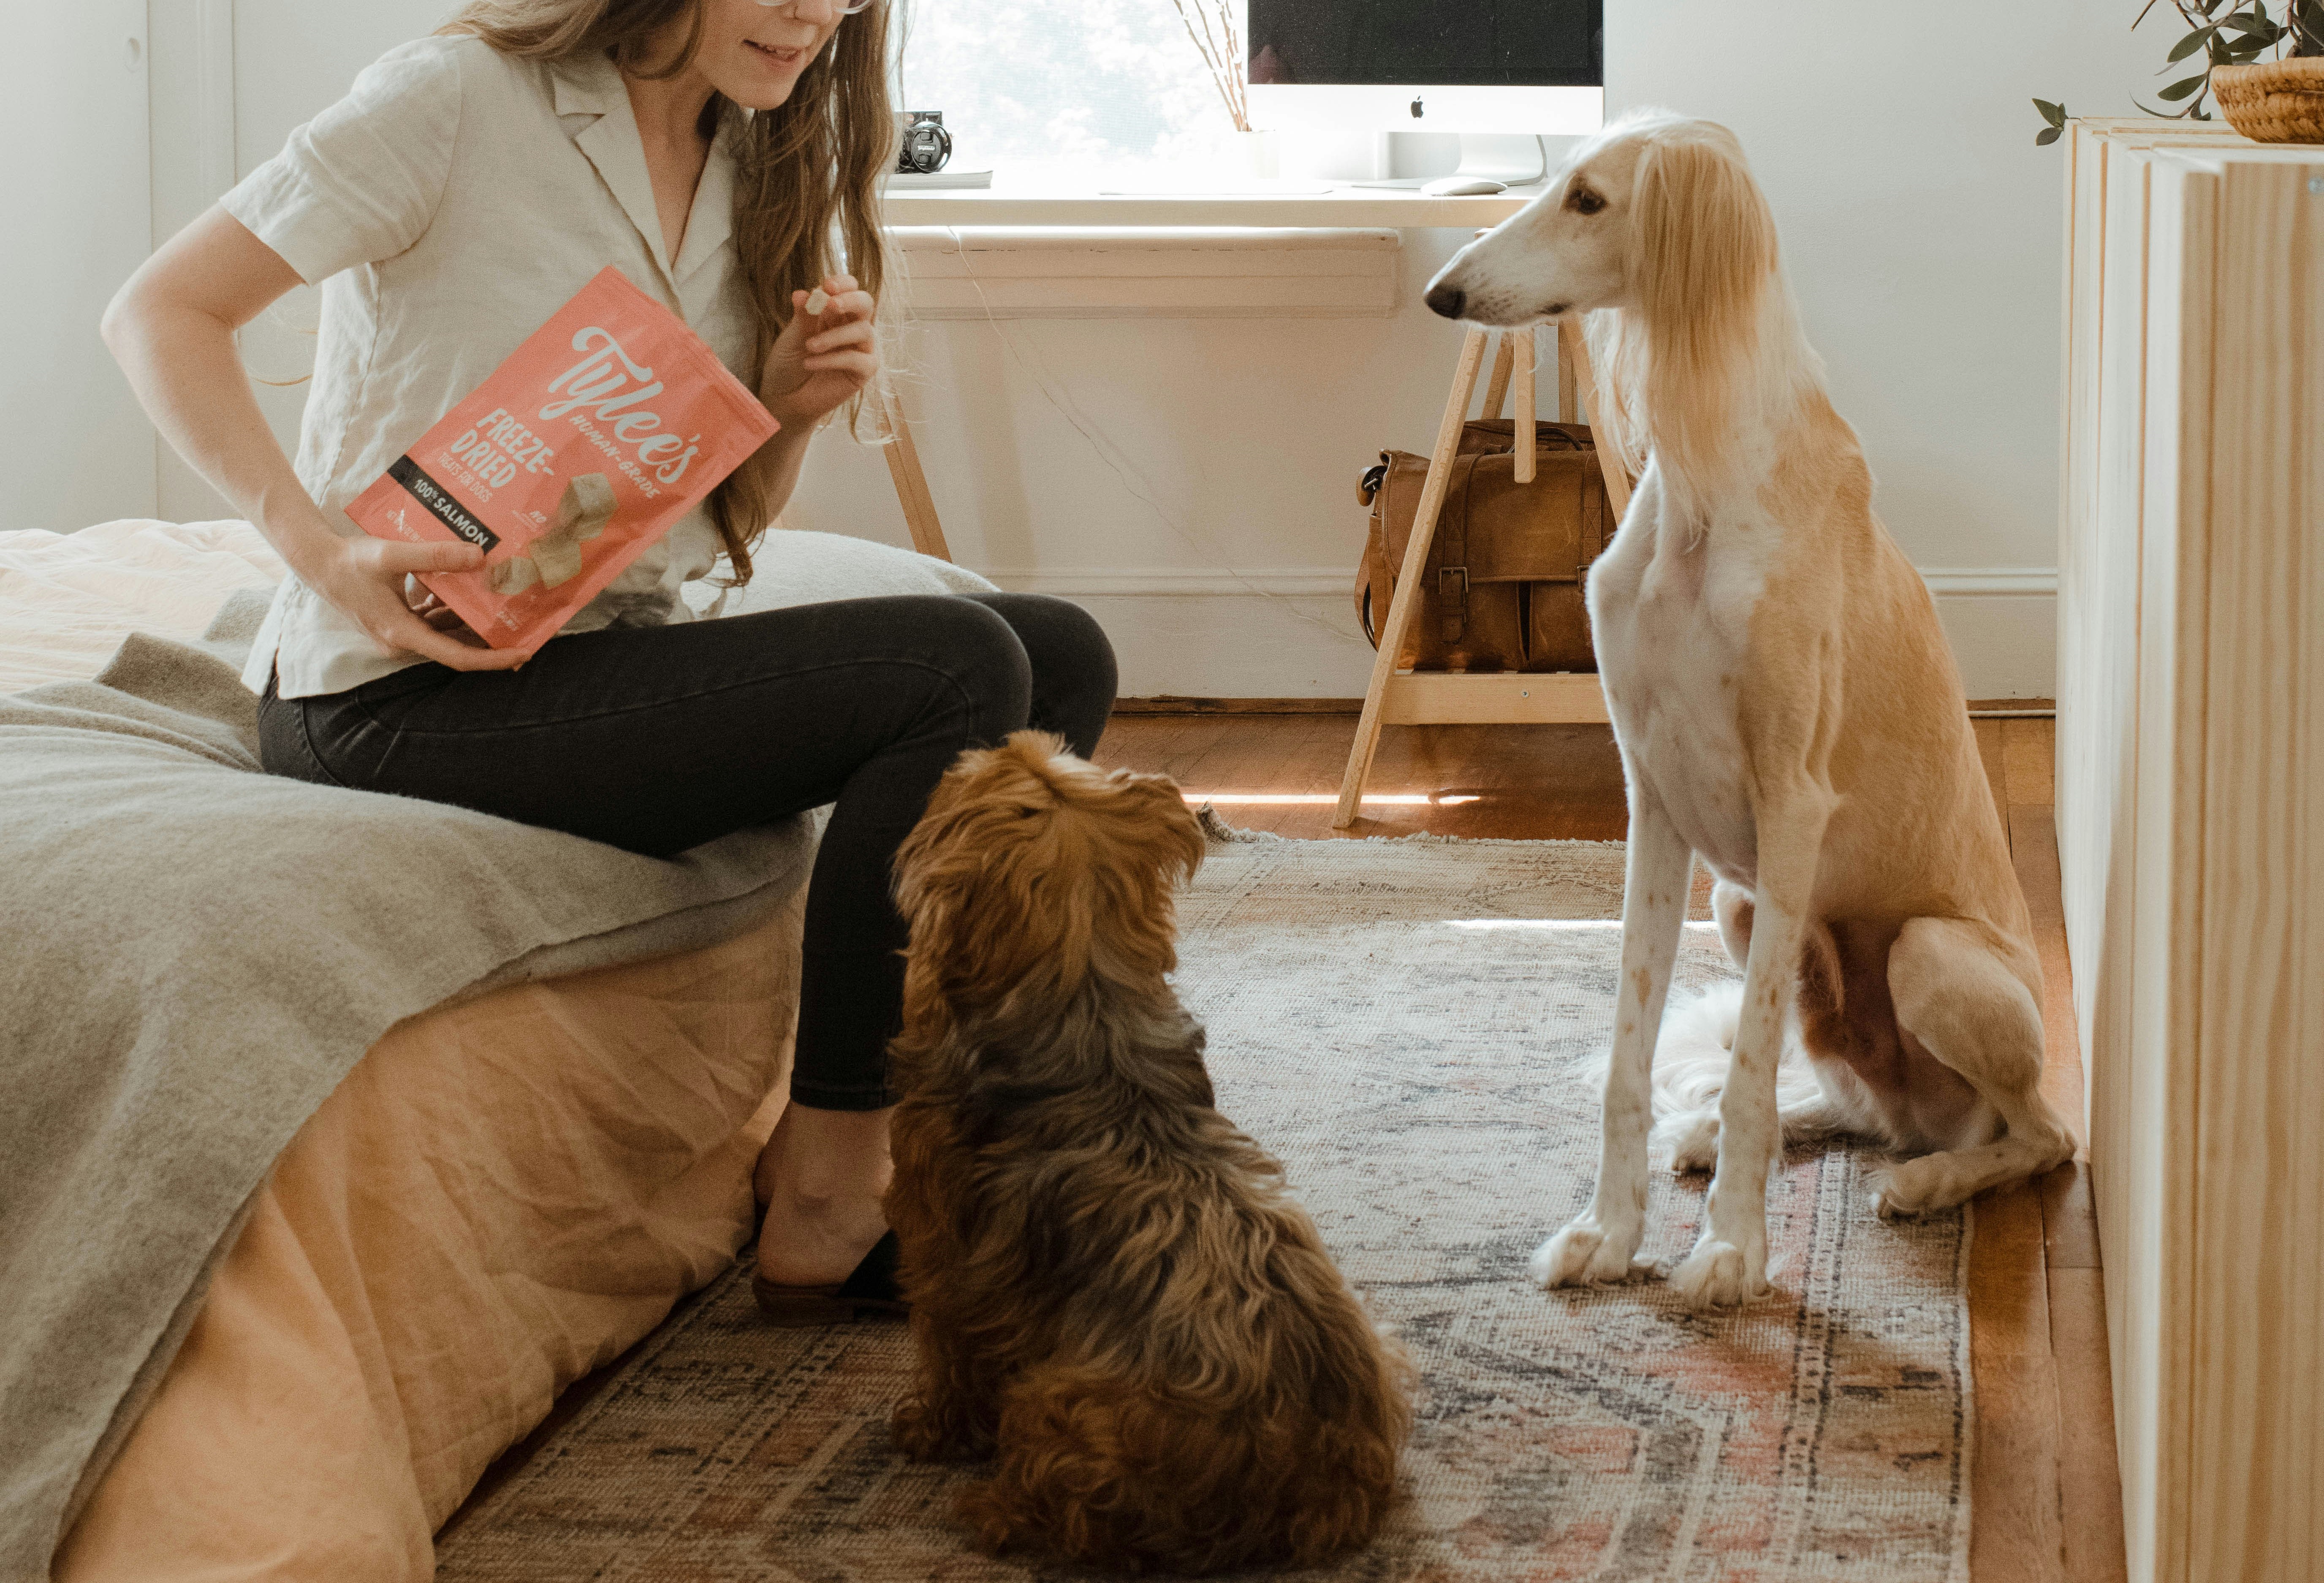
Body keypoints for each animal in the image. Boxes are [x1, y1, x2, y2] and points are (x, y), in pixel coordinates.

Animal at [883, 732, 1411, 1573]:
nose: (997, 739)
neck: (1085, 1004)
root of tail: (1311, 1487)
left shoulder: (938, 1255)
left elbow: (947, 1355)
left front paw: (928, 1429)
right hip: (1383, 1349)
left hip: (1060, 1405)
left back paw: (990, 1511)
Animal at [1422, 111, 2074, 1310]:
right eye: (1555, 184)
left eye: (1590, 200)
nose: (1443, 294)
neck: (1701, 492)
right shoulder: (1653, 802)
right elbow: (1635, 1054)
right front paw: (1608, 1231)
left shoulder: (1791, 807)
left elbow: (1749, 1068)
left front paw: (1729, 1251)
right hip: (1733, 906)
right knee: (1857, 1105)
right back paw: (1740, 1137)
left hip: (1931, 956)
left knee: (2039, 1134)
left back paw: (1935, 1180)